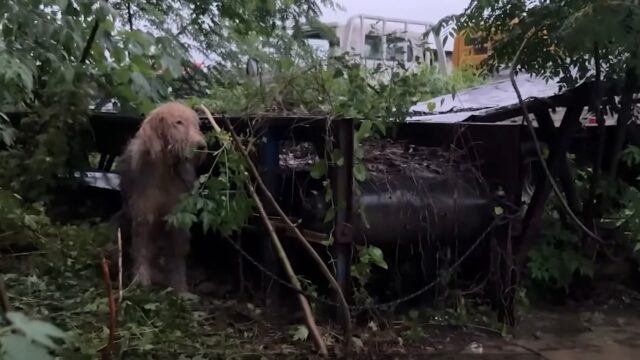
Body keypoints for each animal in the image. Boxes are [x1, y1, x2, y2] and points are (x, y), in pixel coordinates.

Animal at [115, 101, 205, 292]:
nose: (201, 146)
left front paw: (180, 288)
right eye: (178, 123)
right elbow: (142, 249)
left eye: (197, 124)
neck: (166, 170)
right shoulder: (143, 214)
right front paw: (141, 281)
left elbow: (177, 254)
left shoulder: (178, 217)